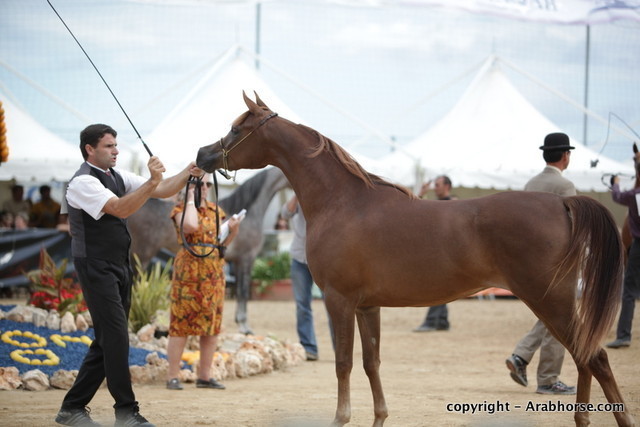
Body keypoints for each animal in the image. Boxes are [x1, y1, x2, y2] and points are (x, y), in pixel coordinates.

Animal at [127, 166, 290, 334]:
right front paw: (245, 327)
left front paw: (240, 323)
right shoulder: (247, 258)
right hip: (142, 255)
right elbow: (244, 291)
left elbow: (239, 290)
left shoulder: (237, 261)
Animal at [195, 92, 634, 427]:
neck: (344, 202)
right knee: (585, 359)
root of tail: (563, 203)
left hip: (550, 300)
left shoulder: (339, 301)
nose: (202, 154)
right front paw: (378, 417)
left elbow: (343, 363)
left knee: (594, 357)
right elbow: (371, 362)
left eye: (237, 128)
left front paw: (341, 418)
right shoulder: (367, 306)